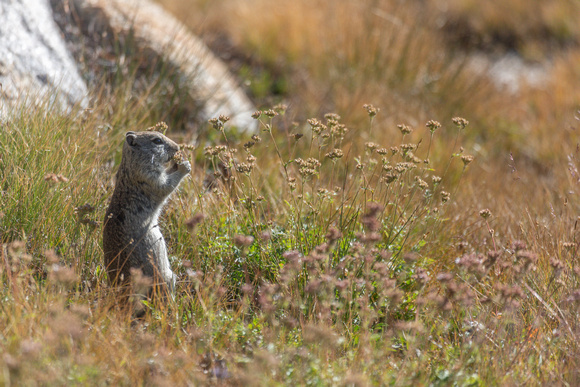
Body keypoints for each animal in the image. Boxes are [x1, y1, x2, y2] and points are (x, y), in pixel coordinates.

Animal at [101, 130, 189, 298]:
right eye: (157, 141)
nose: (177, 147)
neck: (131, 163)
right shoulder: (151, 177)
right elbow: (167, 184)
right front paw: (184, 166)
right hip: (164, 275)